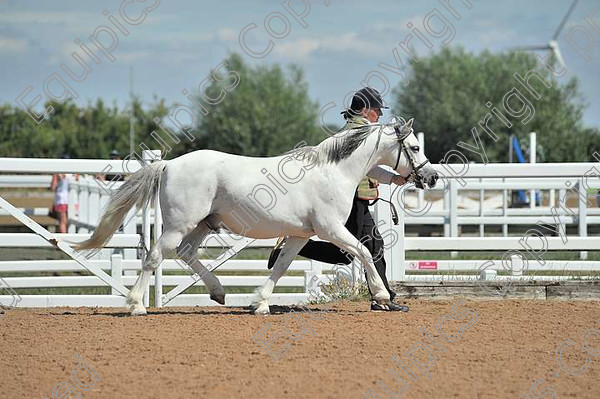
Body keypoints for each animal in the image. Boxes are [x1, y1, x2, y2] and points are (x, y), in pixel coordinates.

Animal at [77, 118, 438, 316]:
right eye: (415, 147)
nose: (431, 177)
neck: (333, 171)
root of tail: (168, 164)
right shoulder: (331, 229)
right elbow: (364, 251)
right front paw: (382, 296)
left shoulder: (301, 235)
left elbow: (281, 266)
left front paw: (260, 303)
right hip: (179, 225)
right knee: (155, 256)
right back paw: (136, 305)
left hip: (203, 224)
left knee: (186, 253)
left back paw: (219, 292)